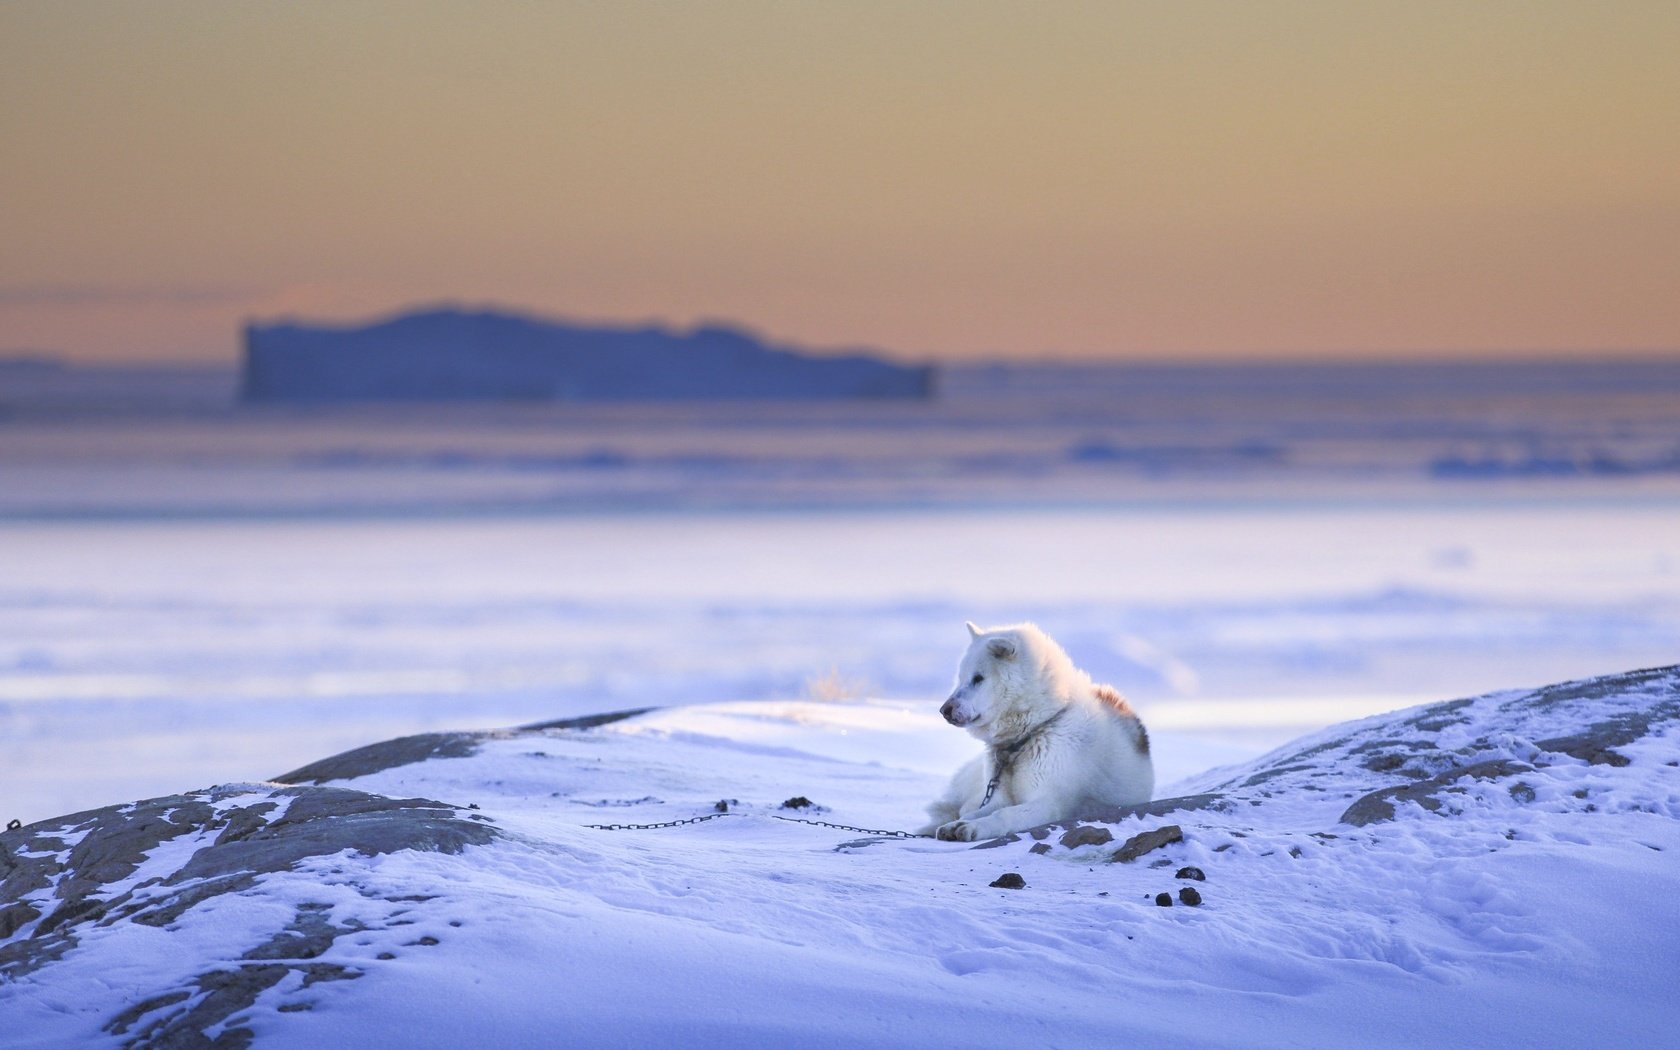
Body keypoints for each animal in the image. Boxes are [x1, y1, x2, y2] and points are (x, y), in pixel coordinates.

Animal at [920, 618, 1155, 840]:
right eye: (960, 678)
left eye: (978, 678)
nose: (944, 710)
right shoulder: (997, 798)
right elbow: (974, 813)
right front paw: (957, 824)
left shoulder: (1048, 803)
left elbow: (1003, 814)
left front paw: (975, 827)